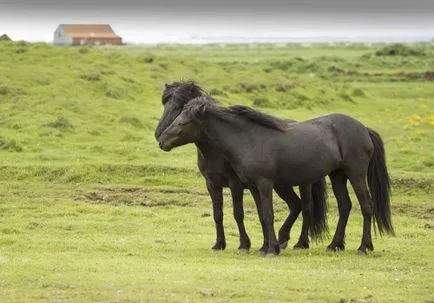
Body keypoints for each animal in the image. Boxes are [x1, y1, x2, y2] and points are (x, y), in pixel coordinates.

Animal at [154, 81, 328, 254]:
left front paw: (244, 244)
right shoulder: (212, 184)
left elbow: (238, 213)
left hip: (303, 184)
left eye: (178, 107)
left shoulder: (235, 183)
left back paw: (300, 242)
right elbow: (218, 214)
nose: (159, 135)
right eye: (164, 104)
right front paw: (219, 244)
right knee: (295, 205)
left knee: (306, 208)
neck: (216, 151)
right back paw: (283, 239)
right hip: (282, 185)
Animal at [159, 97, 394, 256]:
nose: (162, 140)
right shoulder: (253, 186)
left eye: (183, 122)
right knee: (344, 206)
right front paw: (265, 246)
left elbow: (268, 215)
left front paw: (271, 249)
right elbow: (261, 216)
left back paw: (364, 247)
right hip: (337, 176)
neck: (248, 138)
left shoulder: (263, 184)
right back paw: (334, 245)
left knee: (366, 207)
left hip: (356, 175)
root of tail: (364, 129)